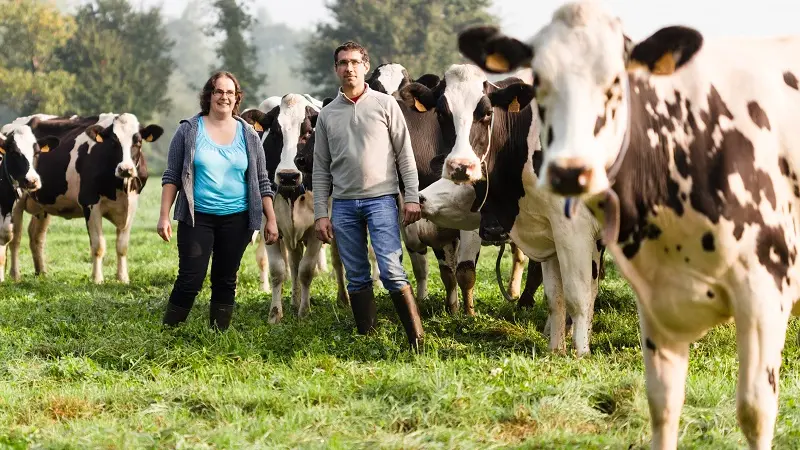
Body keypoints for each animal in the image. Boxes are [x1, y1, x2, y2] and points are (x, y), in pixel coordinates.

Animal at [7, 112, 163, 284]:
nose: (125, 169)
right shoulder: (90, 203)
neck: (120, 187)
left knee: (36, 237)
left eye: (138, 142)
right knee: (15, 239)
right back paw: (15, 275)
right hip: (15, 202)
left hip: (43, 204)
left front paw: (123, 278)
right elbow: (98, 245)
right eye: (113, 142)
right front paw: (97, 279)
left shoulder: (131, 205)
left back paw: (42, 273)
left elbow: (122, 246)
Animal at [241, 93, 346, 322]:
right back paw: (294, 299)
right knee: (294, 261)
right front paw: (275, 314)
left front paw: (304, 312)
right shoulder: (269, 226)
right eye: (275, 132)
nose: (288, 176)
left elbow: (307, 270)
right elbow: (279, 270)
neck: (292, 193)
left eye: (307, 132)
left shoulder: (317, 229)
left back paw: (343, 299)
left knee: (336, 260)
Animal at [410, 62, 604, 356]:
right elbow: (557, 295)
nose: (421, 198)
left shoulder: (575, 232)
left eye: (487, 112)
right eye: (441, 113)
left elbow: (579, 293)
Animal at [460, 1, 800, 448]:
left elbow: (578, 294)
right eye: (541, 84)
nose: (458, 167)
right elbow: (557, 297)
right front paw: (556, 349)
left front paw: (579, 352)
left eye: (484, 114)